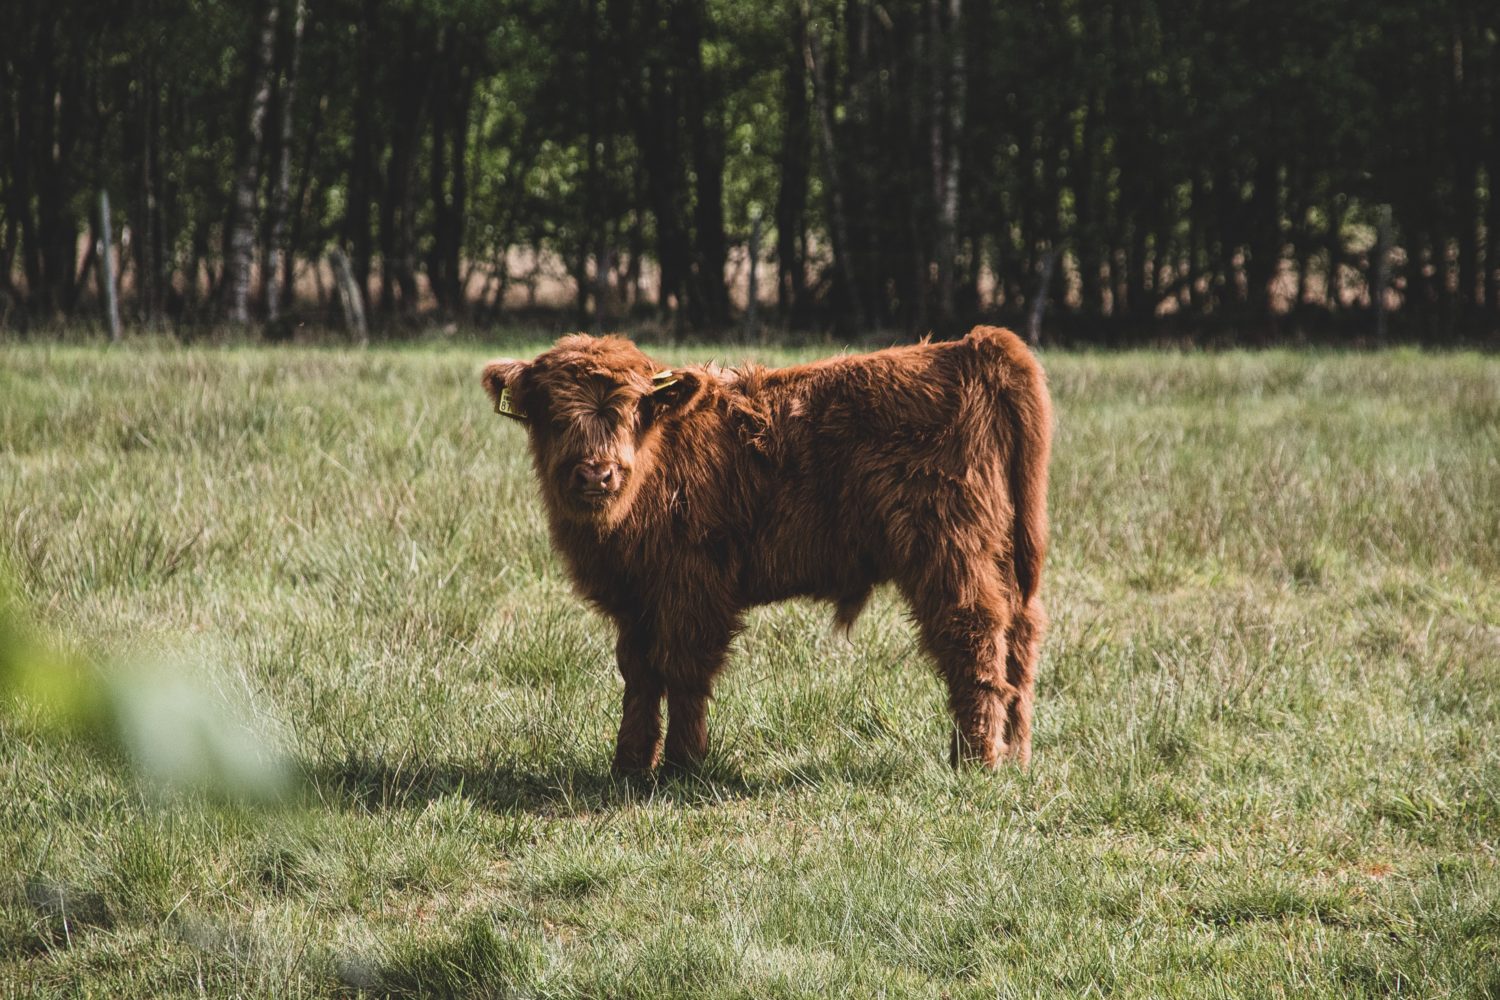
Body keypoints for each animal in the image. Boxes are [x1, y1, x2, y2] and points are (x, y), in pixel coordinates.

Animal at [481, 326, 1051, 773]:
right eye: (555, 416)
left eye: (632, 411)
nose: (596, 474)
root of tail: (971, 346)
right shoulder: (635, 597)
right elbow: (639, 673)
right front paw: (629, 763)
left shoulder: (693, 586)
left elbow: (682, 669)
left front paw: (683, 764)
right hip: (1003, 554)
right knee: (1019, 639)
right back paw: (1015, 756)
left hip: (951, 551)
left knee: (973, 635)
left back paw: (976, 760)